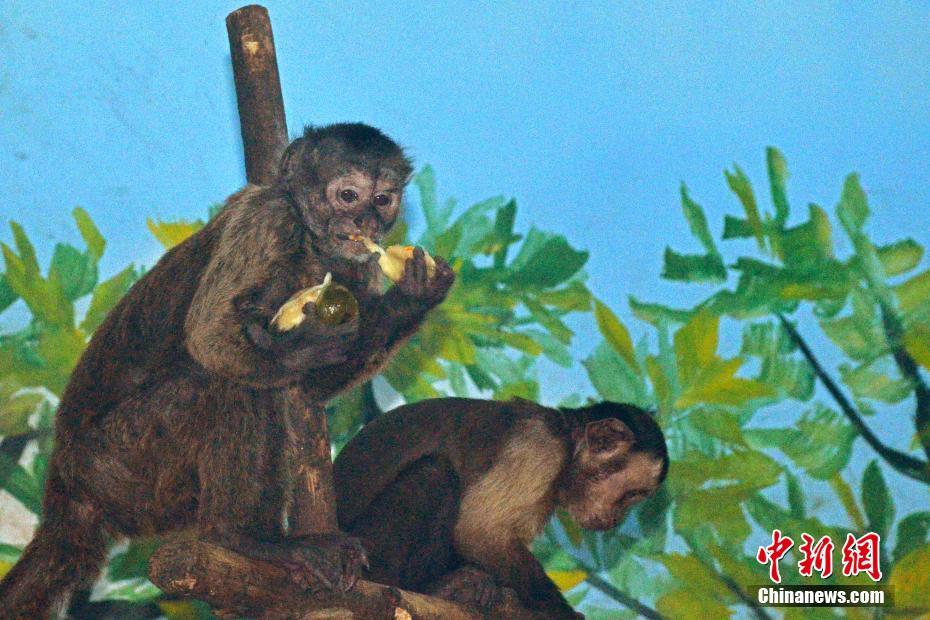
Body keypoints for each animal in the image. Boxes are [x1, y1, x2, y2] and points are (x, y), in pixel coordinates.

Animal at [0, 123, 455, 618]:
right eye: (348, 195)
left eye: (383, 199)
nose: (366, 224)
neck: (311, 245)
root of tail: (67, 488)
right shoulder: (264, 219)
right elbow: (208, 339)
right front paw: (302, 346)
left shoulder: (358, 270)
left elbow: (307, 391)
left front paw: (411, 296)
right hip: (115, 463)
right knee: (221, 384)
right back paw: (239, 538)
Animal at [333, 397, 668, 619]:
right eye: (632, 495)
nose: (615, 520)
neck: (566, 445)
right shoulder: (540, 449)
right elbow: (477, 532)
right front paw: (563, 615)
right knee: (435, 473)